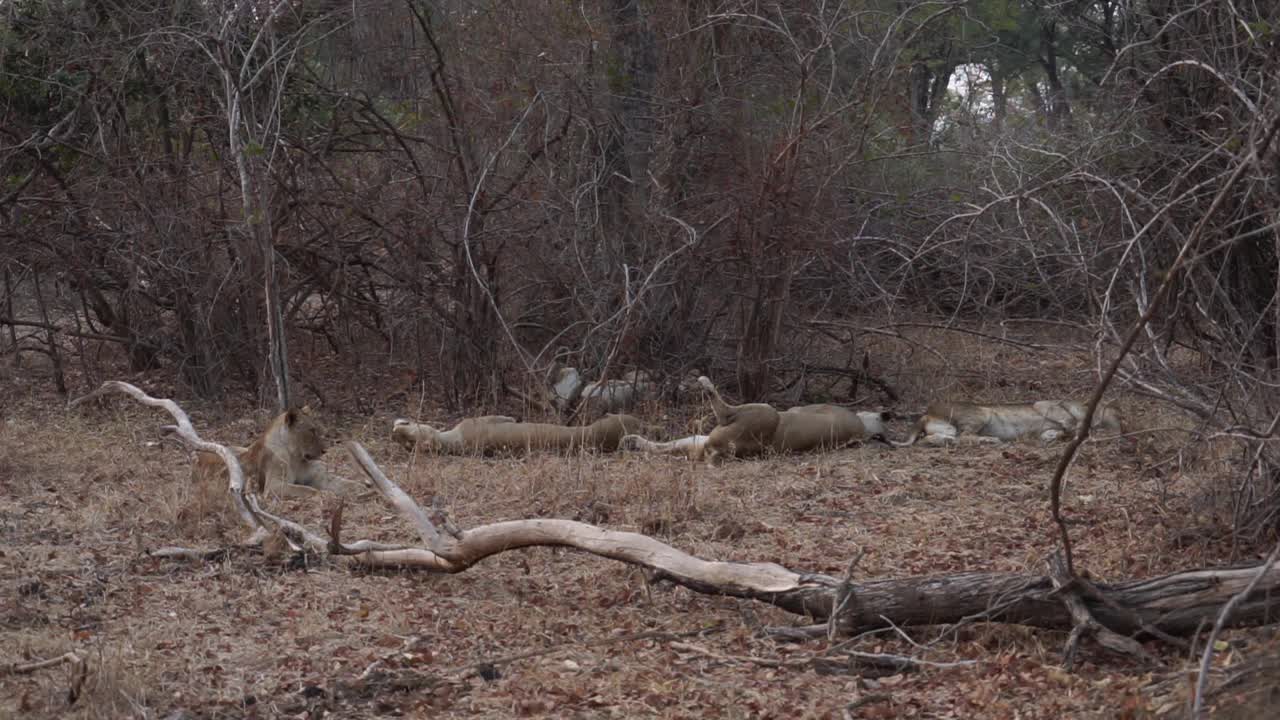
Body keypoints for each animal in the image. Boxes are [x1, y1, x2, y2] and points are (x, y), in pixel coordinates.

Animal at [188, 407, 366, 497]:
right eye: (311, 430)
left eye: (317, 429)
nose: (325, 450)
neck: (297, 457)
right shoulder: (273, 485)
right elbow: (308, 490)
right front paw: (326, 495)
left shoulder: (321, 478)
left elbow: (346, 483)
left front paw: (364, 487)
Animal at [619, 371, 890, 461]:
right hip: (699, 440)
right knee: (663, 447)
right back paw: (631, 441)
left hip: (763, 412)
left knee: (724, 410)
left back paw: (705, 383)